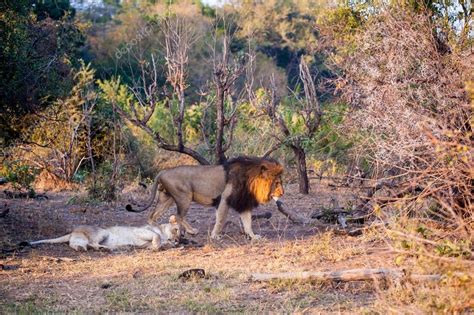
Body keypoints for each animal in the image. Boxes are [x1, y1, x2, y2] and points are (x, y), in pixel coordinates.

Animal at [124, 157, 286, 241]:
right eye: (277, 183)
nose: (282, 193)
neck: (251, 180)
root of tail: (163, 171)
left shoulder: (243, 203)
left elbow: (247, 223)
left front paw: (253, 236)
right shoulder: (225, 199)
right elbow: (220, 219)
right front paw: (215, 235)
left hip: (166, 199)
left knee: (152, 216)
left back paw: (157, 230)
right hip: (184, 196)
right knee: (178, 216)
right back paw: (191, 231)